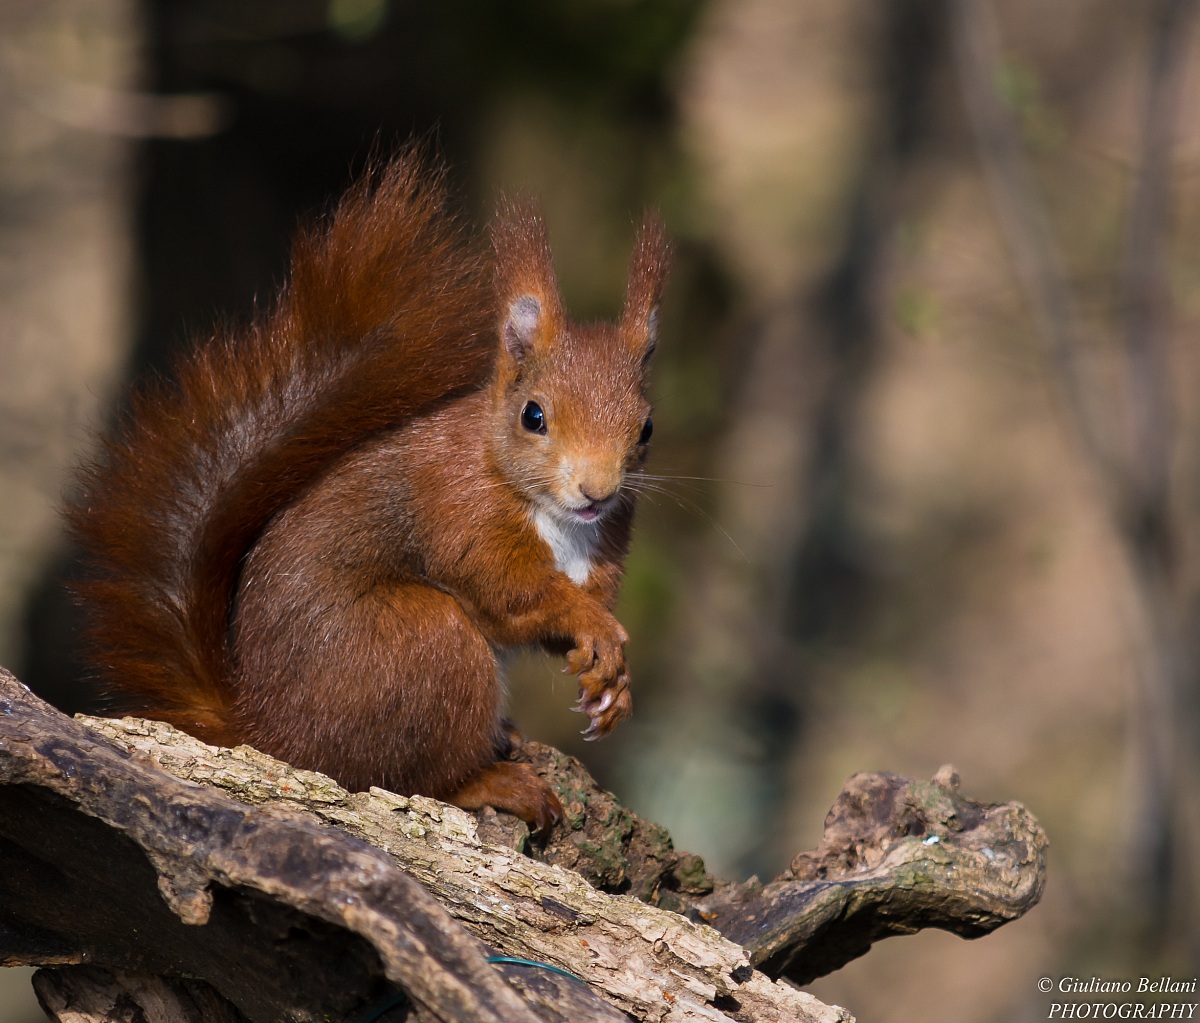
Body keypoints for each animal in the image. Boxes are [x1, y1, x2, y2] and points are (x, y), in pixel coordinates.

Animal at [68, 151, 670, 831]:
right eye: (533, 416)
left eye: (647, 428)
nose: (596, 491)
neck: (556, 517)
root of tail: (268, 729)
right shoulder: (458, 508)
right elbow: (511, 591)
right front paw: (594, 627)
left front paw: (612, 679)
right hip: (424, 648)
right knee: (412, 775)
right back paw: (495, 782)